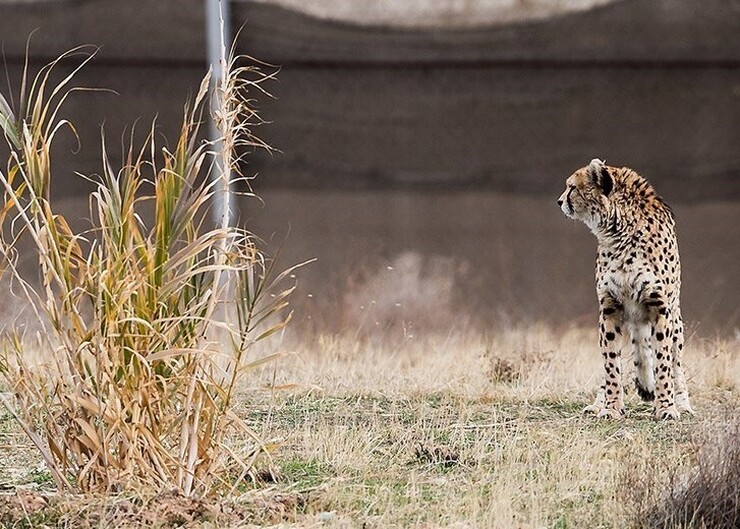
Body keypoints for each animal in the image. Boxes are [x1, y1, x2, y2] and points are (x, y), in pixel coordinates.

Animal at [556, 159, 696, 418]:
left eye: (572, 187)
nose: (559, 201)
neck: (619, 231)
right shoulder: (609, 307)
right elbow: (611, 362)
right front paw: (611, 407)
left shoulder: (660, 307)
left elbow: (663, 361)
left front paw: (666, 407)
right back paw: (600, 402)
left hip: (675, 320)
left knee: (676, 363)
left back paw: (681, 402)